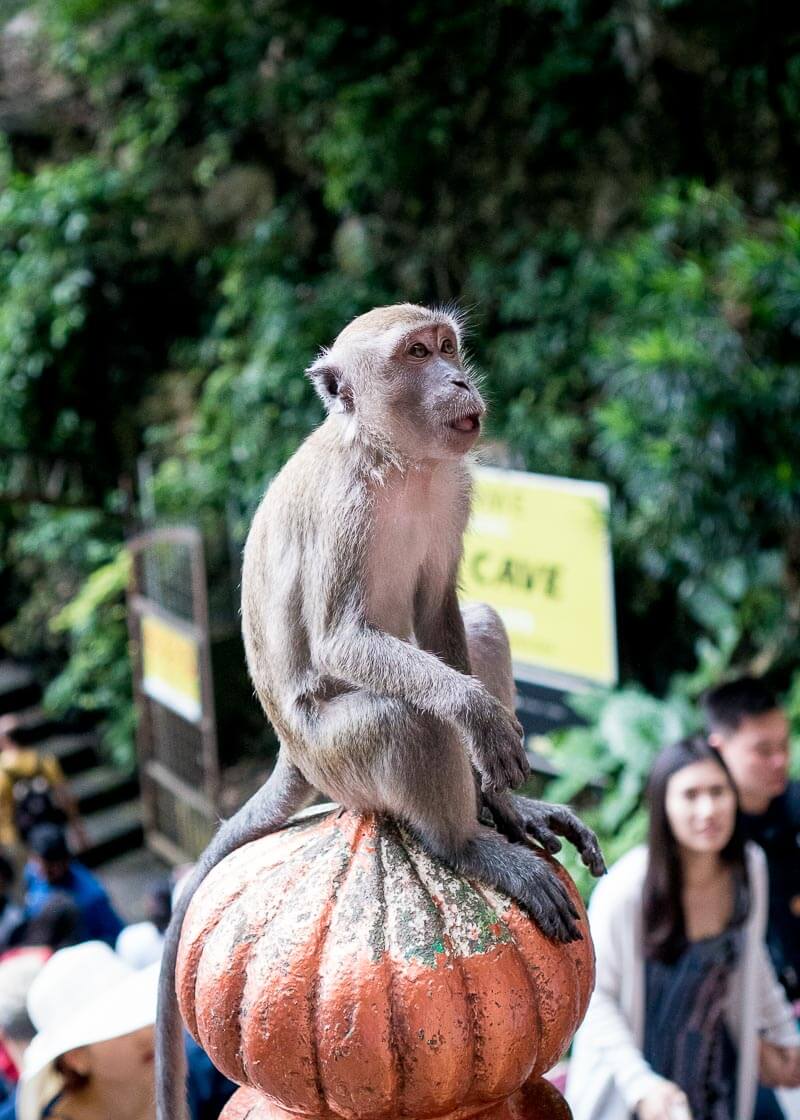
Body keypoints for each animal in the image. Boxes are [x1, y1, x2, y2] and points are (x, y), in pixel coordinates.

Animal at [156, 304, 605, 1120]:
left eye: (447, 346)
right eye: (417, 354)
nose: (458, 379)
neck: (399, 462)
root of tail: (290, 754)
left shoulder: (455, 486)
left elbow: (442, 611)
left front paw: (503, 791)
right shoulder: (347, 508)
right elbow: (343, 639)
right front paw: (472, 716)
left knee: (481, 627)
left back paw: (499, 810)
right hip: (338, 758)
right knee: (406, 718)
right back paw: (464, 845)